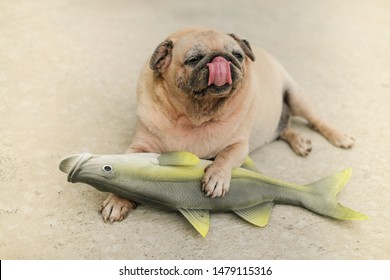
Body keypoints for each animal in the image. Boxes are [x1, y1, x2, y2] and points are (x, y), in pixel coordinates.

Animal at [100, 26, 354, 223]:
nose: (221, 58)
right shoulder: (140, 146)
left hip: (297, 97)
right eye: (193, 59)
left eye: (238, 55)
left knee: (316, 120)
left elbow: (225, 157)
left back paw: (338, 137)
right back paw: (299, 141)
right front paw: (116, 200)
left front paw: (216, 178)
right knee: (284, 127)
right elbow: (124, 169)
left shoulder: (239, 145)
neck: (195, 115)